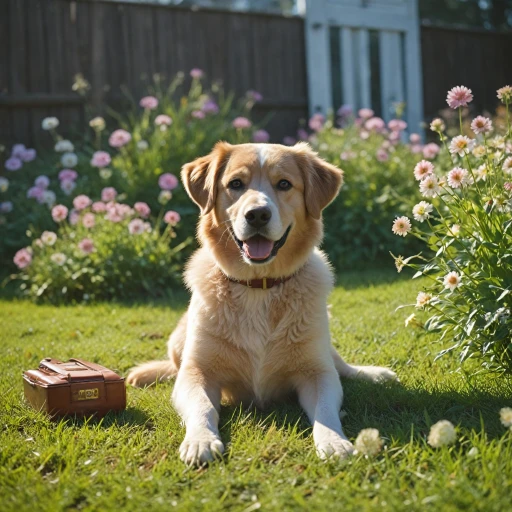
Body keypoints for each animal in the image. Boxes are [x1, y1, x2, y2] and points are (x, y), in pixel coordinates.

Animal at [126, 142, 398, 466]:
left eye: (284, 184)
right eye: (235, 184)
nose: (257, 214)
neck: (259, 287)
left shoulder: (316, 372)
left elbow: (325, 411)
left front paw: (334, 441)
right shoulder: (196, 373)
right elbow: (203, 407)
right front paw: (200, 440)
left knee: (340, 365)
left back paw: (373, 374)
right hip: (179, 340)